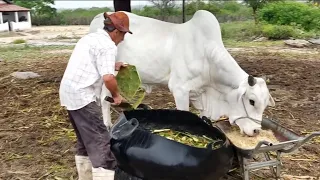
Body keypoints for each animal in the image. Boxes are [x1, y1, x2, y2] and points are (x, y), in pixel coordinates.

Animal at [88, 10, 276, 136]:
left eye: (265, 104)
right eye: (251, 101)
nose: (256, 131)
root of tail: (98, 18)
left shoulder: (199, 93)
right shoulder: (180, 90)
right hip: (106, 74)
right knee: (103, 100)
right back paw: (107, 126)